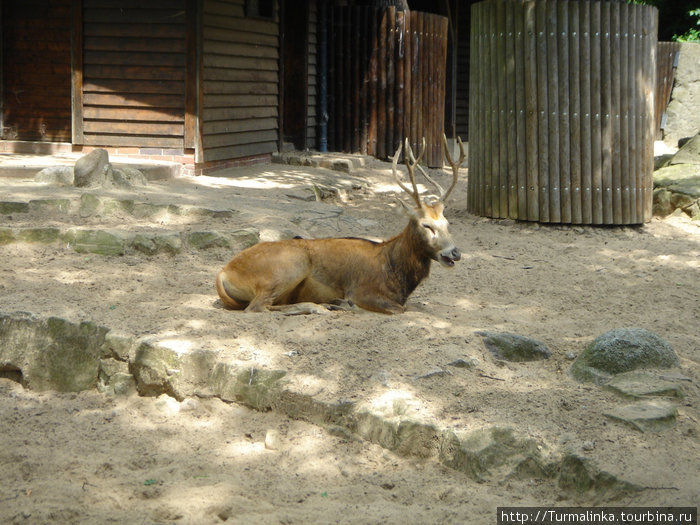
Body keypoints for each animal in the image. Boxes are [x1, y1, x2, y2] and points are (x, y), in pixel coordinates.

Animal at [213, 135, 464, 316]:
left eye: (447, 223)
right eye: (426, 225)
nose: (455, 252)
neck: (394, 272)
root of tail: (224, 273)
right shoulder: (364, 291)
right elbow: (403, 309)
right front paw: (345, 303)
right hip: (290, 265)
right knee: (256, 307)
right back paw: (322, 306)